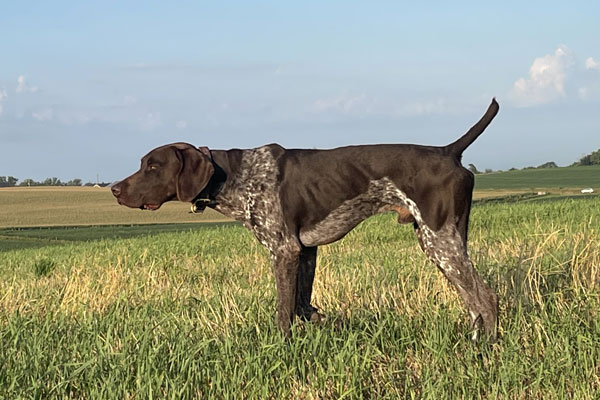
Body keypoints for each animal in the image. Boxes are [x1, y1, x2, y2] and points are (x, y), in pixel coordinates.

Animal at [112, 98, 502, 340]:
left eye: (153, 166)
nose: (114, 189)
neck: (236, 175)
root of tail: (448, 151)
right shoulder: (305, 251)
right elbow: (301, 301)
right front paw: (318, 319)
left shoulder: (283, 250)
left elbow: (284, 309)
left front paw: (282, 346)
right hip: (441, 241)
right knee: (472, 300)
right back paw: (474, 339)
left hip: (441, 240)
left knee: (486, 297)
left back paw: (487, 346)